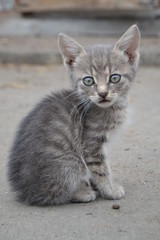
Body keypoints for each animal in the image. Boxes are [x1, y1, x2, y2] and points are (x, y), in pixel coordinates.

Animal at [7, 24, 140, 205]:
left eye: (114, 78)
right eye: (88, 81)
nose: (103, 93)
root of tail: (25, 191)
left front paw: (99, 186)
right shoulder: (91, 145)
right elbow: (101, 169)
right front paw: (109, 190)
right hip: (72, 161)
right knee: (55, 192)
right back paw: (82, 192)